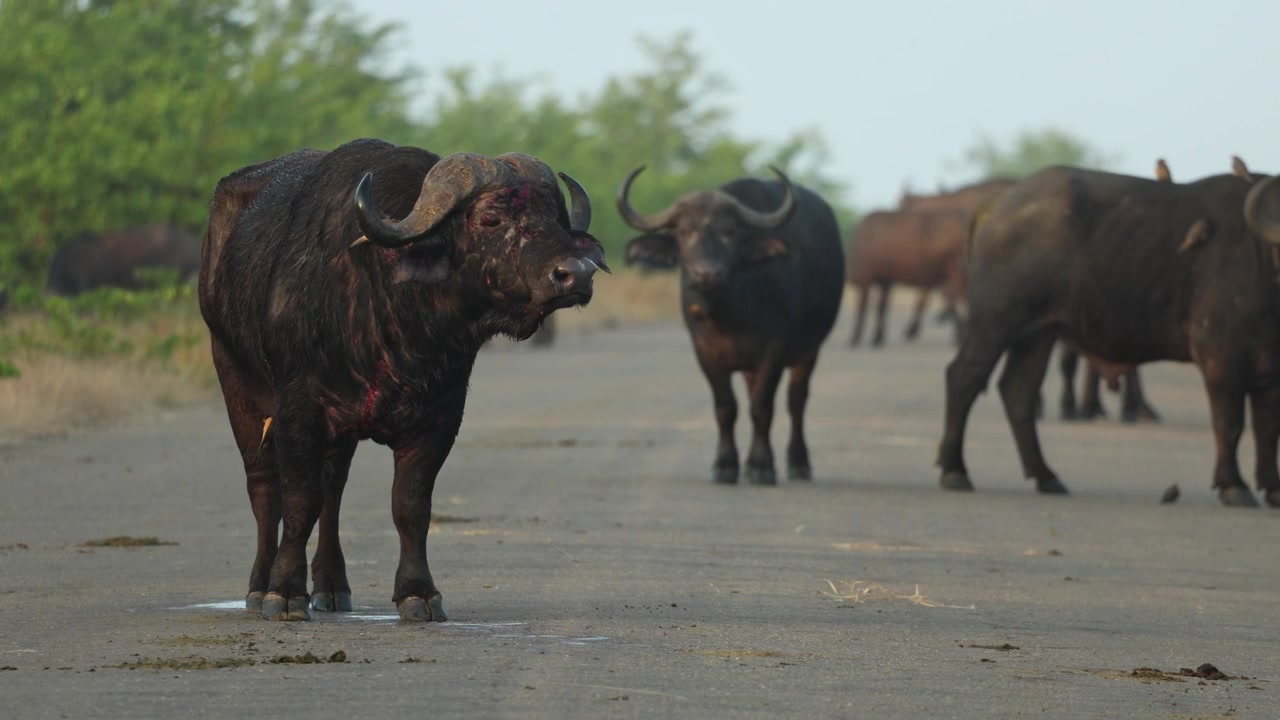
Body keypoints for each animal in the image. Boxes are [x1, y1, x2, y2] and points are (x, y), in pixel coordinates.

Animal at [198, 138, 607, 622]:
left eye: (554, 217)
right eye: (490, 218)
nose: (576, 273)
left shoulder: (441, 416)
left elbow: (410, 506)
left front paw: (418, 593)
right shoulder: (297, 409)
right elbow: (298, 501)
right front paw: (284, 592)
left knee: (333, 490)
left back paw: (332, 586)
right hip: (234, 378)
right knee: (264, 488)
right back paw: (260, 586)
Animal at [618, 166, 844, 485]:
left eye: (730, 232)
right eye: (683, 231)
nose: (707, 273)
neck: (731, 314)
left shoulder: (775, 349)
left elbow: (762, 407)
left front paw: (761, 467)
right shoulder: (704, 350)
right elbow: (726, 408)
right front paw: (725, 466)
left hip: (810, 349)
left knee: (796, 401)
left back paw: (799, 464)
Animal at [846, 207, 970, 347]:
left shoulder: (865, 279)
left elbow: (862, 308)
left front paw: (855, 338)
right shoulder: (885, 282)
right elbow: (881, 308)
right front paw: (877, 338)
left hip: (955, 272)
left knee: (955, 299)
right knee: (957, 300)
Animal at [937, 161, 1280, 508]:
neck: (1263, 261)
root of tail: (993, 207)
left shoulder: (1270, 373)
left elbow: (1268, 429)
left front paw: (1273, 488)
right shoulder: (1221, 363)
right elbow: (1230, 424)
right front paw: (1233, 485)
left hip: (1038, 333)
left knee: (1018, 391)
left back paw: (1046, 476)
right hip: (994, 322)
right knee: (964, 377)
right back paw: (955, 471)